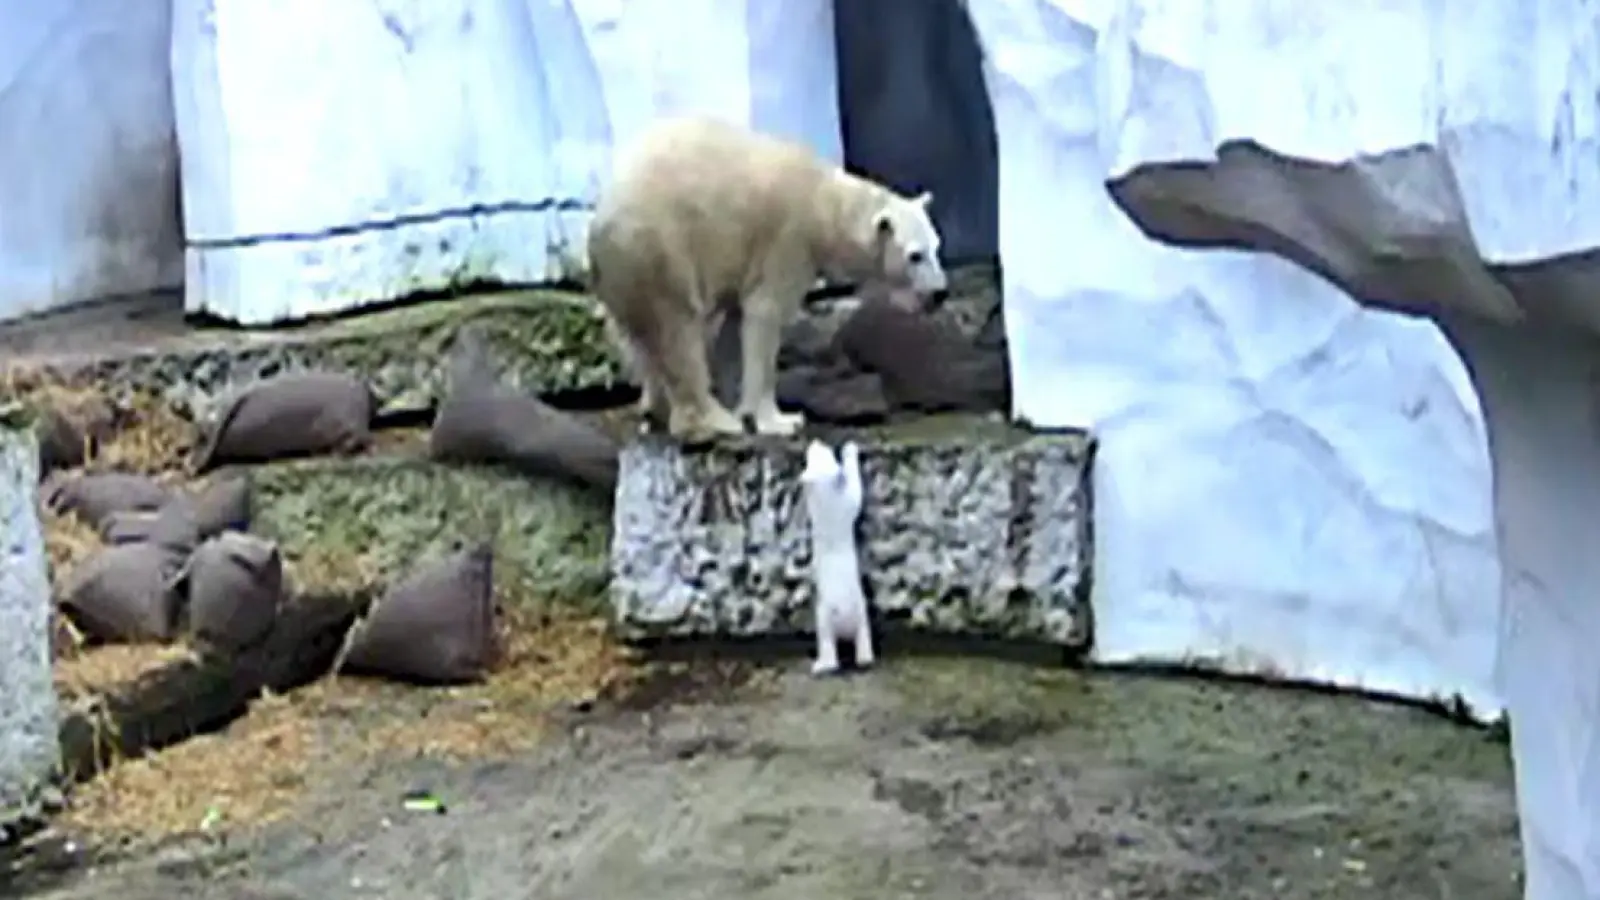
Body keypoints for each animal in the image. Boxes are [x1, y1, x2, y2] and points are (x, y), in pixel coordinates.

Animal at [588, 117, 947, 441]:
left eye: (936, 246)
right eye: (915, 256)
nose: (940, 293)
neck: (824, 202)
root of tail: (600, 220)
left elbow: (736, 325)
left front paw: (742, 404)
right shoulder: (788, 242)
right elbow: (765, 315)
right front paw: (778, 420)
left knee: (637, 337)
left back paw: (654, 408)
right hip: (660, 249)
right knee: (678, 331)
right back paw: (712, 421)